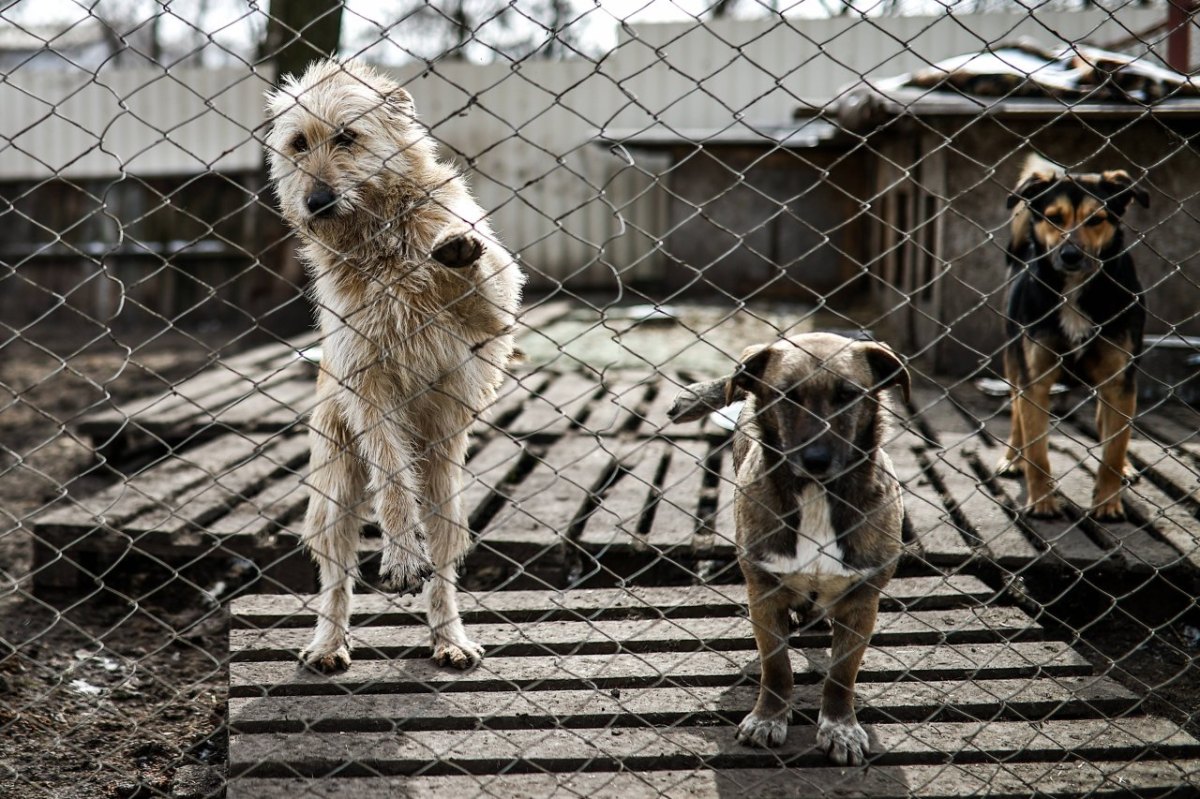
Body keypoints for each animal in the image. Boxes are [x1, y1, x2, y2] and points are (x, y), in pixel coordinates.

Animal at [265, 62, 523, 667]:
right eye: (298, 144)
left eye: (346, 137)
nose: (316, 200)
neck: (381, 238)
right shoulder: (369, 387)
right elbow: (390, 479)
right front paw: (402, 554)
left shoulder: (494, 316)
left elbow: (483, 284)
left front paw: (456, 251)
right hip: (334, 492)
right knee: (336, 574)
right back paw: (328, 643)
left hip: (448, 499)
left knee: (444, 571)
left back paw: (449, 639)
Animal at [667, 331, 907, 767]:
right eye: (786, 396)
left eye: (847, 394)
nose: (816, 460)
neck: (815, 495)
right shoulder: (764, 594)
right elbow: (776, 666)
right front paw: (768, 719)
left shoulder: (862, 601)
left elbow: (841, 675)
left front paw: (840, 727)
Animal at [993, 155, 1152, 520]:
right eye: (1054, 218)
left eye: (1097, 219)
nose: (1070, 255)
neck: (1074, 290)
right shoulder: (1035, 378)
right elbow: (1037, 450)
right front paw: (1041, 501)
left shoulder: (1119, 379)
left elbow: (1114, 447)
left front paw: (1108, 502)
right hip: (1014, 361)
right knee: (1016, 415)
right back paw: (1012, 458)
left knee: (1110, 426)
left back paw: (1125, 469)